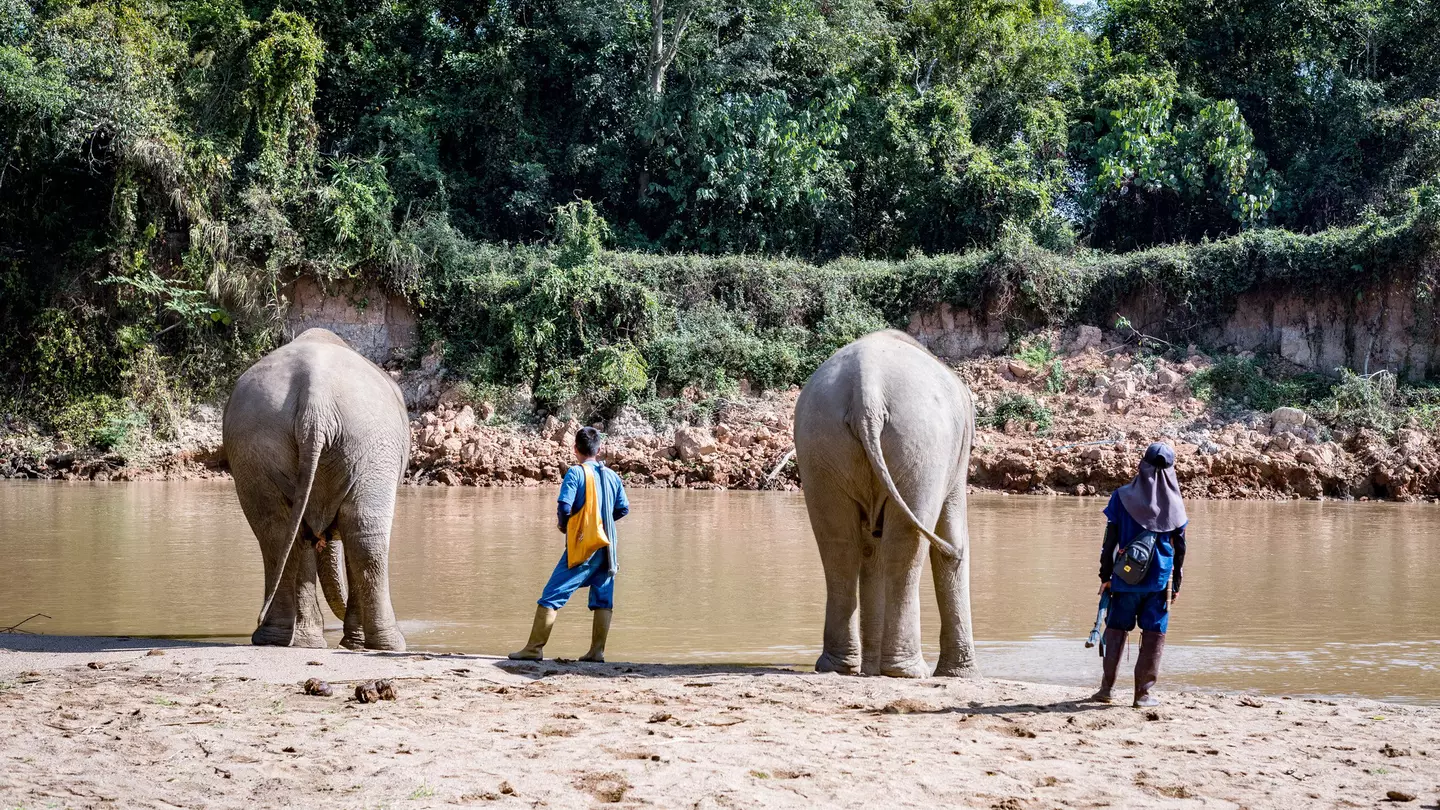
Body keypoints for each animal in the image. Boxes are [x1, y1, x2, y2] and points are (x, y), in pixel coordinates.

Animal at [222, 328, 409, 651]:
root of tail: (316, 400)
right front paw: (352, 643)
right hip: (372, 443)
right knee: (363, 531)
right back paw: (389, 645)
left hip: (256, 444)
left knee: (277, 533)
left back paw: (281, 640)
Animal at [793, 329, 977, 678]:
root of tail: (868, 387)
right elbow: (951, 543)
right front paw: (961, 676)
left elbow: (870, 550)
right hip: (921, 446)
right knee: (906, 548)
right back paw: (909, 671)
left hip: (820, 445)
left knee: (839, 546)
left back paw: (839, 667)